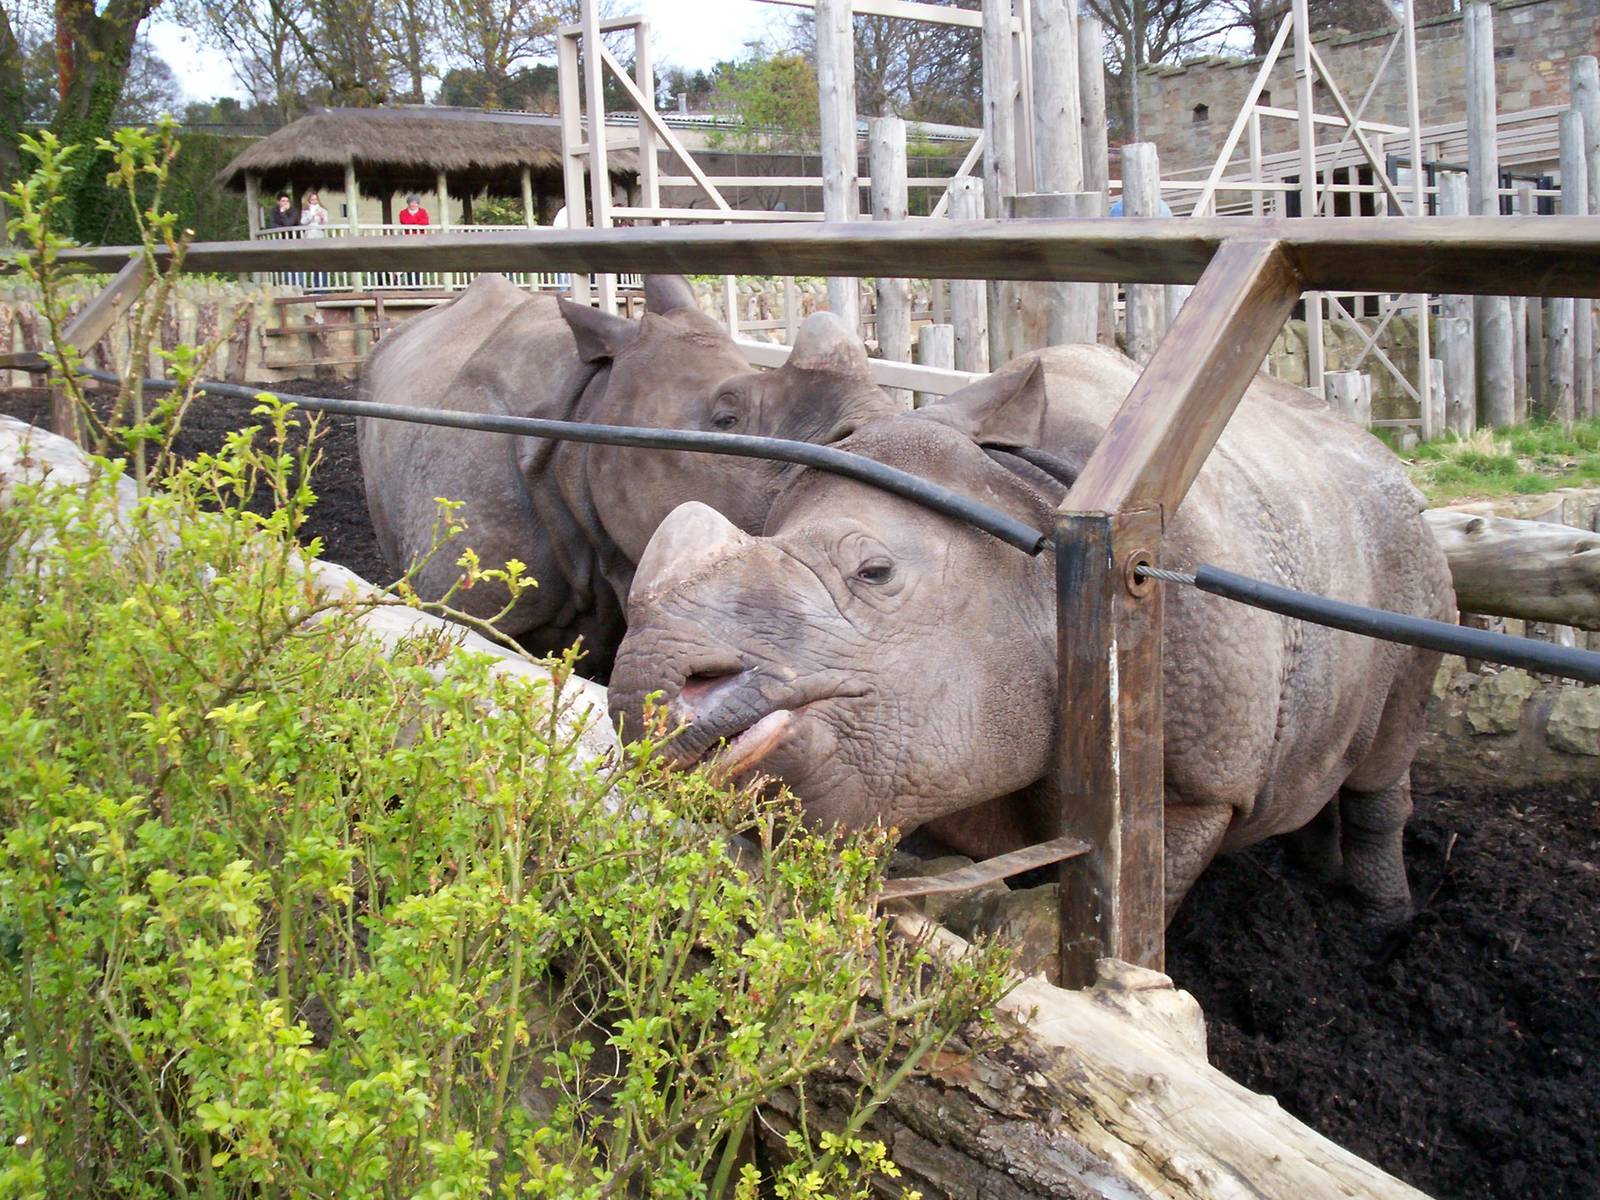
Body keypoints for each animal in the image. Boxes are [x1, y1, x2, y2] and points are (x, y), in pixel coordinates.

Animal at [607, 344, 1457, 917]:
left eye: (874, 574)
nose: (644, 695)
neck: (1029, 517)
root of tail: (1383, 454)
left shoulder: (1199, 787)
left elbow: (1134, 892)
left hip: (1411, 560)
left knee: (1392, 736)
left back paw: (1383, 920)